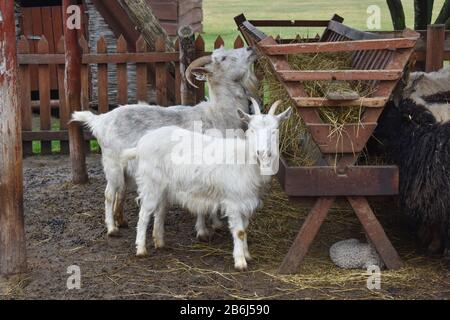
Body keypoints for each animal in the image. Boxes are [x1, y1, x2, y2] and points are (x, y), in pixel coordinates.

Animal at [72, 46, 258, 239]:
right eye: (223, 58)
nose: (250, 48)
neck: (217, 114)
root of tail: (100, 120)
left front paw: (215, 223)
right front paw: (202, 231)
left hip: (127, 168)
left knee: (120, 191)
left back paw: (121, 221)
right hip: (112, 163)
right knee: (109, 193)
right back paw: (111, 228)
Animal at [121, 99, 294, 270]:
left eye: (275, 130)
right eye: (251, 130)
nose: (263, 153)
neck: (245, 160)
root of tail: (141, 144)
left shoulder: (246, 201)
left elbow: (245, 229)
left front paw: (247, 255)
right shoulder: (234, 201)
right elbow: (239, 232)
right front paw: (240, 262)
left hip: (164, 187)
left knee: (160, 211)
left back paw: (160, 242)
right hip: (150, 183)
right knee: (144, 214)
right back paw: (141, 249)